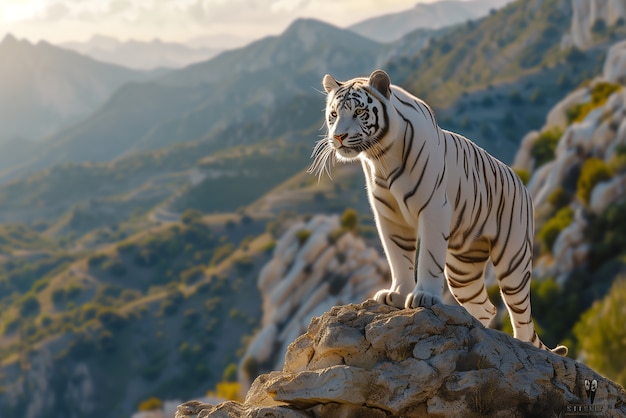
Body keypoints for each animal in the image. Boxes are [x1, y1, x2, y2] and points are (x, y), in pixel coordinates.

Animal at [310, 69, 568, 356]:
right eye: (333, 114)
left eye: (359, 112)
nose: (338, 137)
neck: (380, 158)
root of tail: (521, 182)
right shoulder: (389, 216)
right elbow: (397, 256)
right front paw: (398, 294)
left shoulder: (433, 208)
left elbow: (428, 257)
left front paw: (424, 297)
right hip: (462, 269)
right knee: (486, 306)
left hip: (513, 259)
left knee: (521, 311)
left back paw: (522, 343)